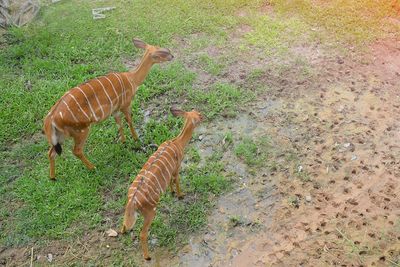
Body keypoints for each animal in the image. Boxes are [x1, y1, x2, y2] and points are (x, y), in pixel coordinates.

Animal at [42, 38, 173, 180]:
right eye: (162, 52)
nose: (172, 56)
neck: (132, 79)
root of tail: (50, 120)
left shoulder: (115, 110)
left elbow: (119, 124)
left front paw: (123, 141)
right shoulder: (126, 104)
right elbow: (129, 121)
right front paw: (136, 139)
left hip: (60, 136)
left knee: (51, 152)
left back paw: (53, 178)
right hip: (81, 130)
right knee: (76, 150)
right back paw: (93, 168)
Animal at [120, 107, 203, 262]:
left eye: (195, 111)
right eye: (199, 115)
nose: (204, 116)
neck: (177, 142)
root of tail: (133, 200)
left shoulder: (170, 172)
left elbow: (170, 181)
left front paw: (172, 192)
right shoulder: (176, 168)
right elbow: (176, 181)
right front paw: (180, 195)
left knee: (125, 222)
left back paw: (123, 232)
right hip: (150, 212)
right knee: (142, 234)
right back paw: (147, 257)